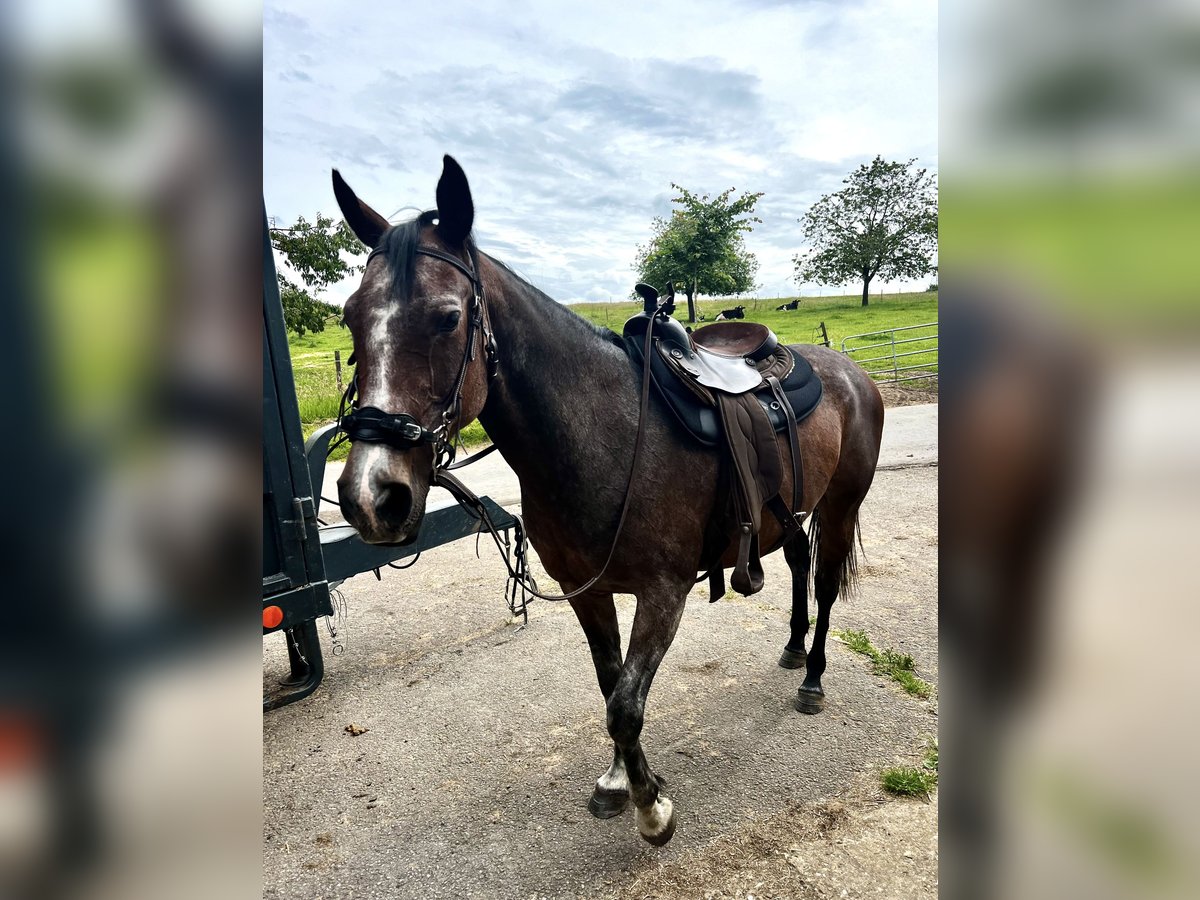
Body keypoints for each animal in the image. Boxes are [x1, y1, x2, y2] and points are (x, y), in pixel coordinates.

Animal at [333, 157, 888, 844]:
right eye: (350, 316)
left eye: (447, 318)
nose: (371, 496)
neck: (608, 434)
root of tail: (848, 370)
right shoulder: (587, 592)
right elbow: (609, 683)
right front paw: (622, 779)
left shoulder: (664, 593)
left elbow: (626, 705)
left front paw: (652, 807)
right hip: (784, 515)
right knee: (800, 564)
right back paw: (790, 648)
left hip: (839, 507)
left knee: (829, 578)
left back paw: (812, 675)